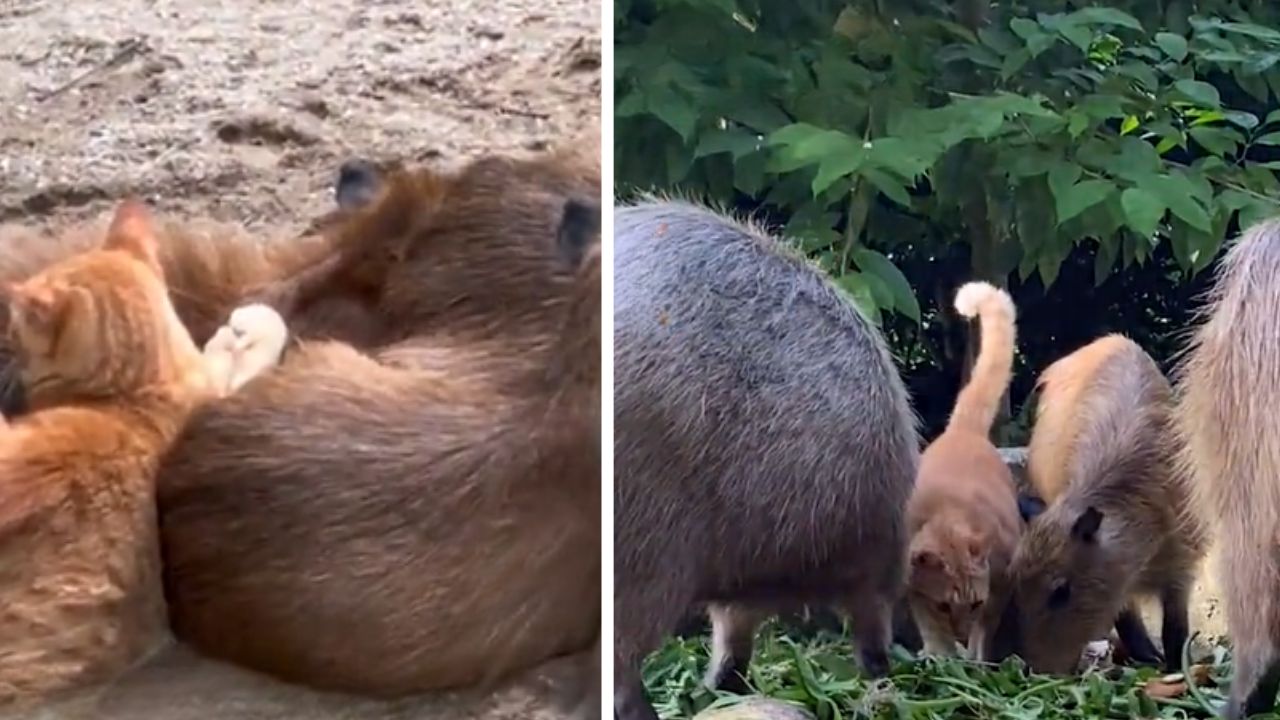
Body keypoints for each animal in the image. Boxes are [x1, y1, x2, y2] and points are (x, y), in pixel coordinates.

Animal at [906, 279, 1024, 655]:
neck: (950, 515)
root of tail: (963, 431)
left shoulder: (1000, 587)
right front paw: (940, 653)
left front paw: (972, 657)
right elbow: (928, 625)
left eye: (974, 604)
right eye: (944, 606)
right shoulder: (913, 589)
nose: (959, 633)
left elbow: (984, 632)